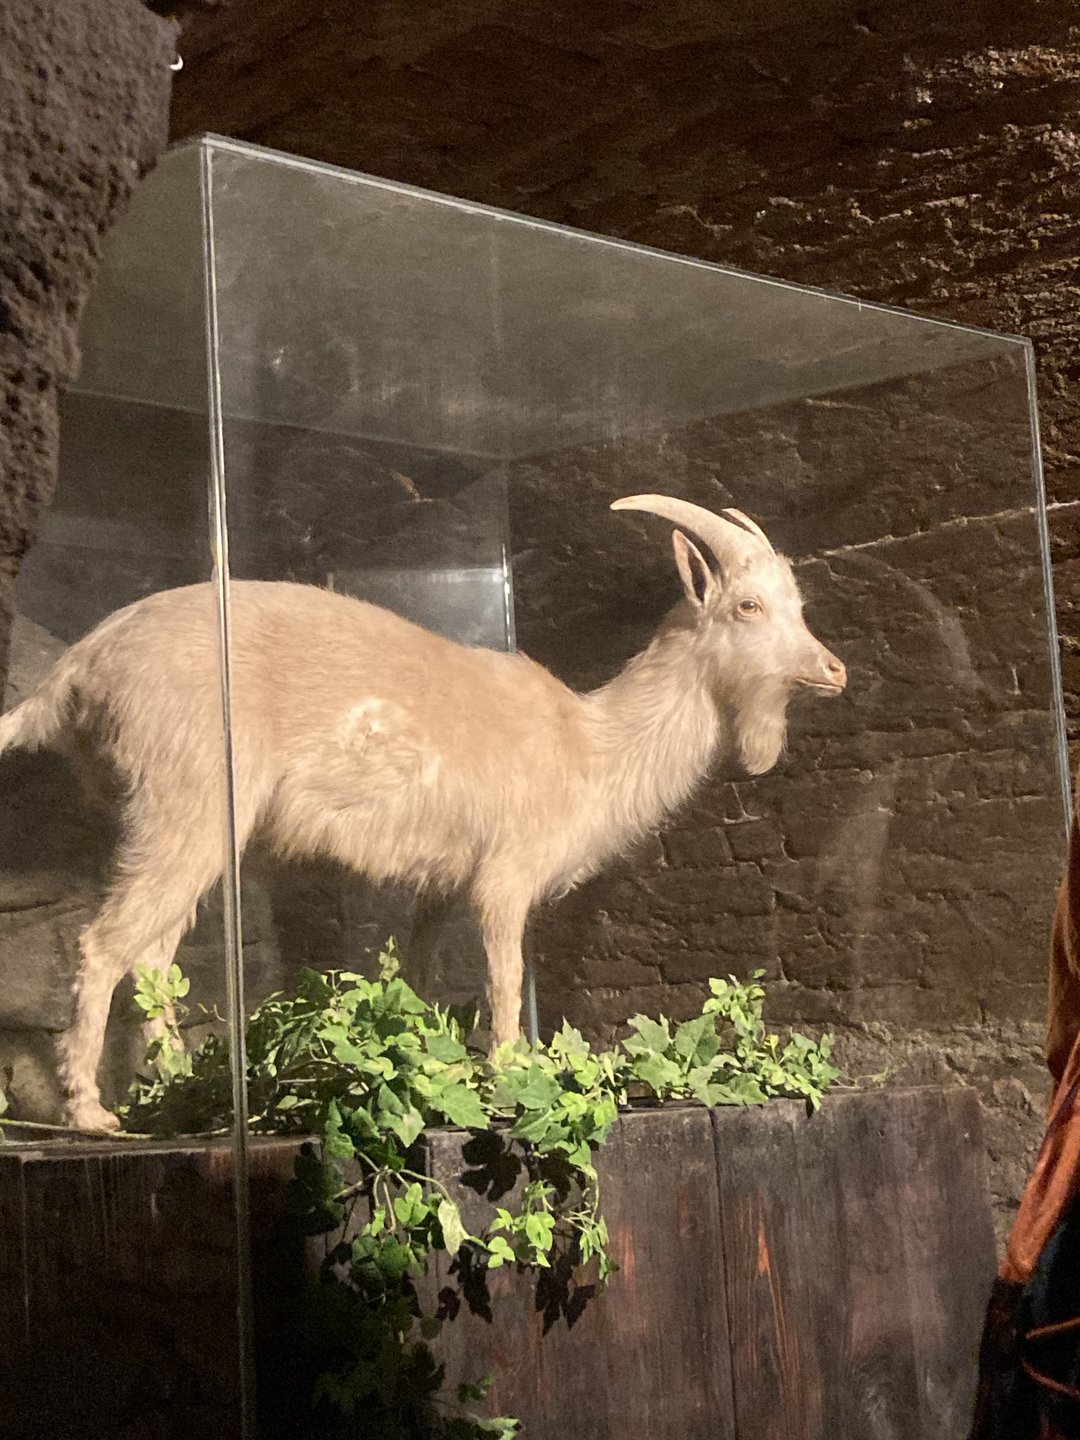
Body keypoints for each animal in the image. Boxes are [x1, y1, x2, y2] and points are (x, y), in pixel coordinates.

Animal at [0, 494, 846, 1130]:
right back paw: (90, 1113)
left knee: (152, 956)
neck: (589, 745)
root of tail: (77, 669)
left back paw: (178, 1088)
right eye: (747, 605)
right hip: (187, 804)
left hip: (182, 821)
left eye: (799, 606)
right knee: (103, 944)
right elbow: (504, 979)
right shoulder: (504, 877)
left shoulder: (443, 882)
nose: (834, 670)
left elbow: (418, 969)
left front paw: (424, 1049)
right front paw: (509, 1076)